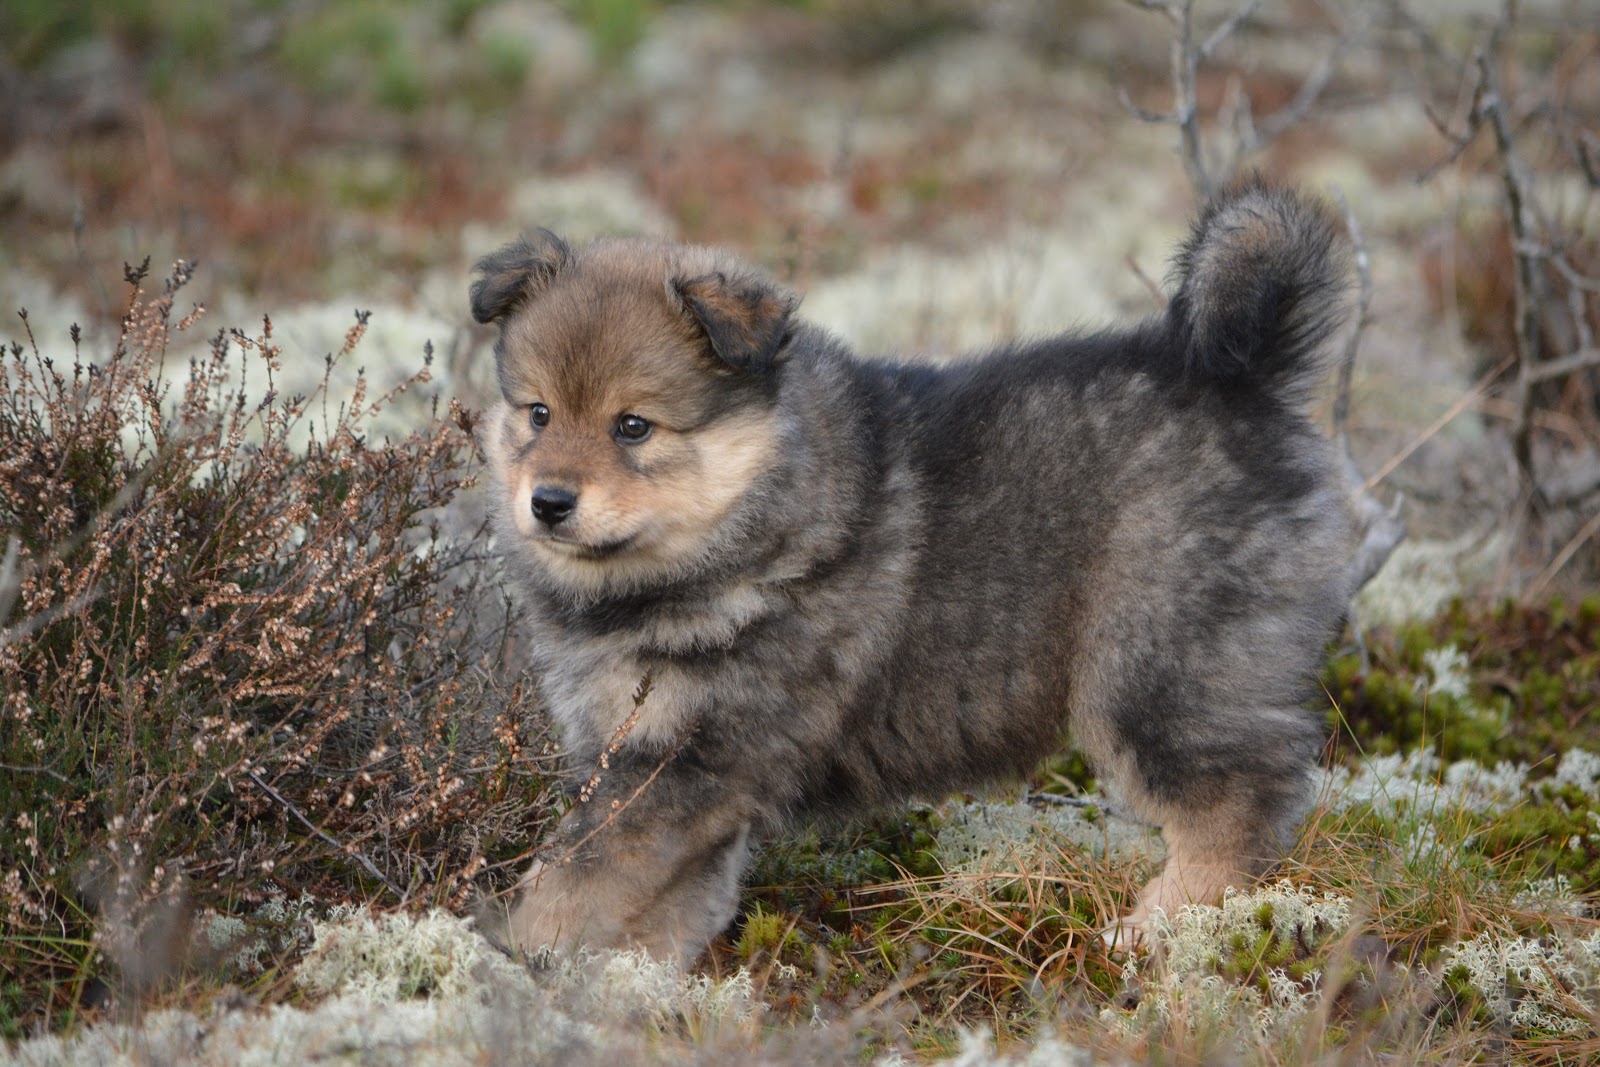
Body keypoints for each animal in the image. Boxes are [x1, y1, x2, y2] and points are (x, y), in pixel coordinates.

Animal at [471, 179, 1358, 966]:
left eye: (633, 427)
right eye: (538, 413)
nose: (548, 501)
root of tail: (1241, 378)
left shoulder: (690, 761)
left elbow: (575, 876)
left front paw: (511, 961)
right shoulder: (657, 768)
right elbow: (654, 900)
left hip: (1159, 668)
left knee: (1236, 803)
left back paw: (1158, 927)